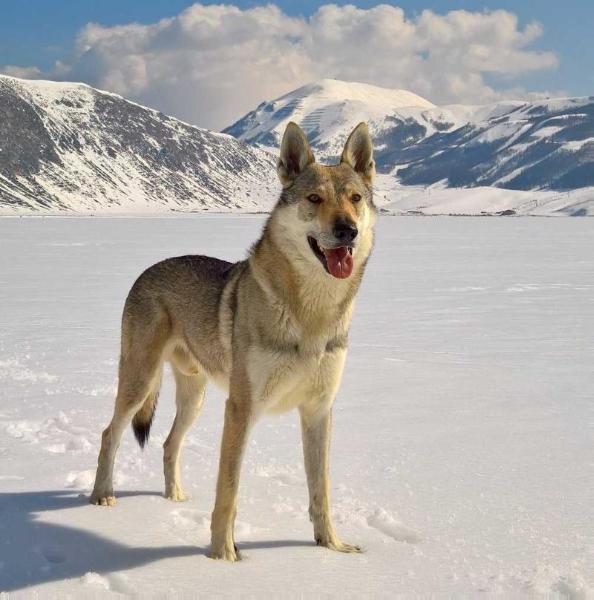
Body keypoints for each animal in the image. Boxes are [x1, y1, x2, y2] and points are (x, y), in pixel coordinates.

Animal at [90, 122, 376, 564]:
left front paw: (331, 545)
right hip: (140, 384)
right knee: (110, 434)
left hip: (195, 398)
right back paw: (102, 496)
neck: (311, 314)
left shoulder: (318, 410)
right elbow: (228, 491)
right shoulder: (241, 409)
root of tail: (148, 269)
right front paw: (224, 557)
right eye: (314, 199)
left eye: (355, 199)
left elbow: (321, 491)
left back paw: (175, 497)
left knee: (169, 443)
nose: (348, 230)